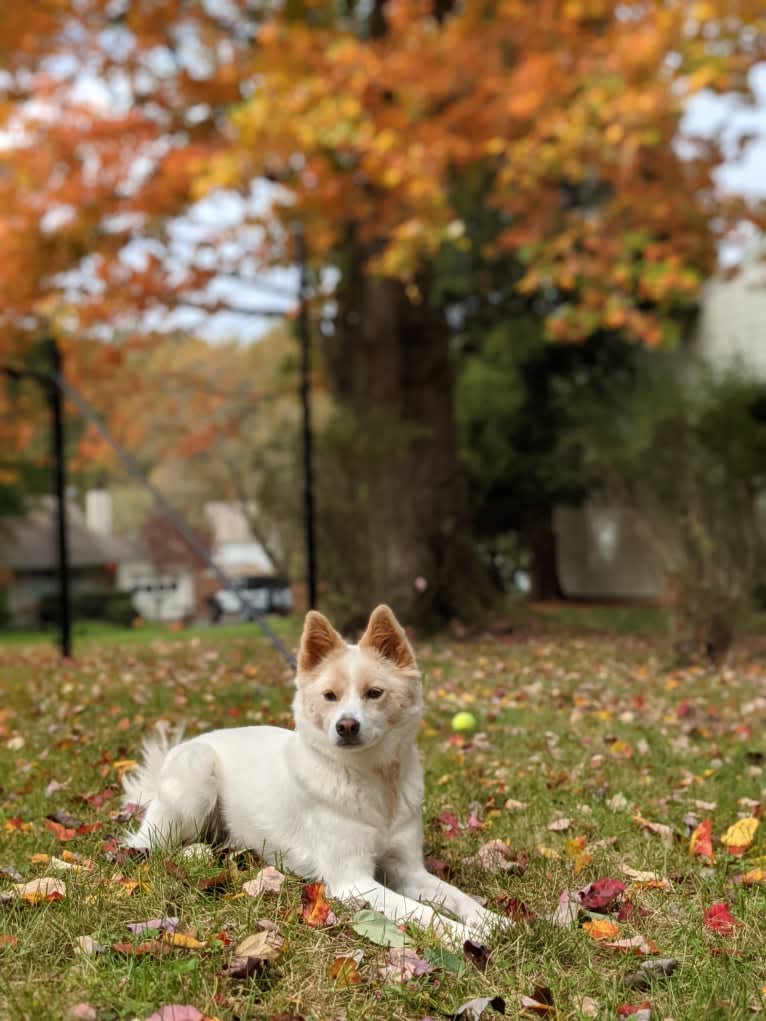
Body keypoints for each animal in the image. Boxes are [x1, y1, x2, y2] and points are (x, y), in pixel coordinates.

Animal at [124, 600, 504, 943]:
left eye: (374, 693)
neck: (373, 779)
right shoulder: (352, 881)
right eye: (329, 696)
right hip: (197, 772)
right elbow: (422, 911)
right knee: (147, 846)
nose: (346, 726)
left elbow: (456, 895)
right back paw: (191, 852)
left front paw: (490, 920)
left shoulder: (408, 869)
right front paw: (462, 934)